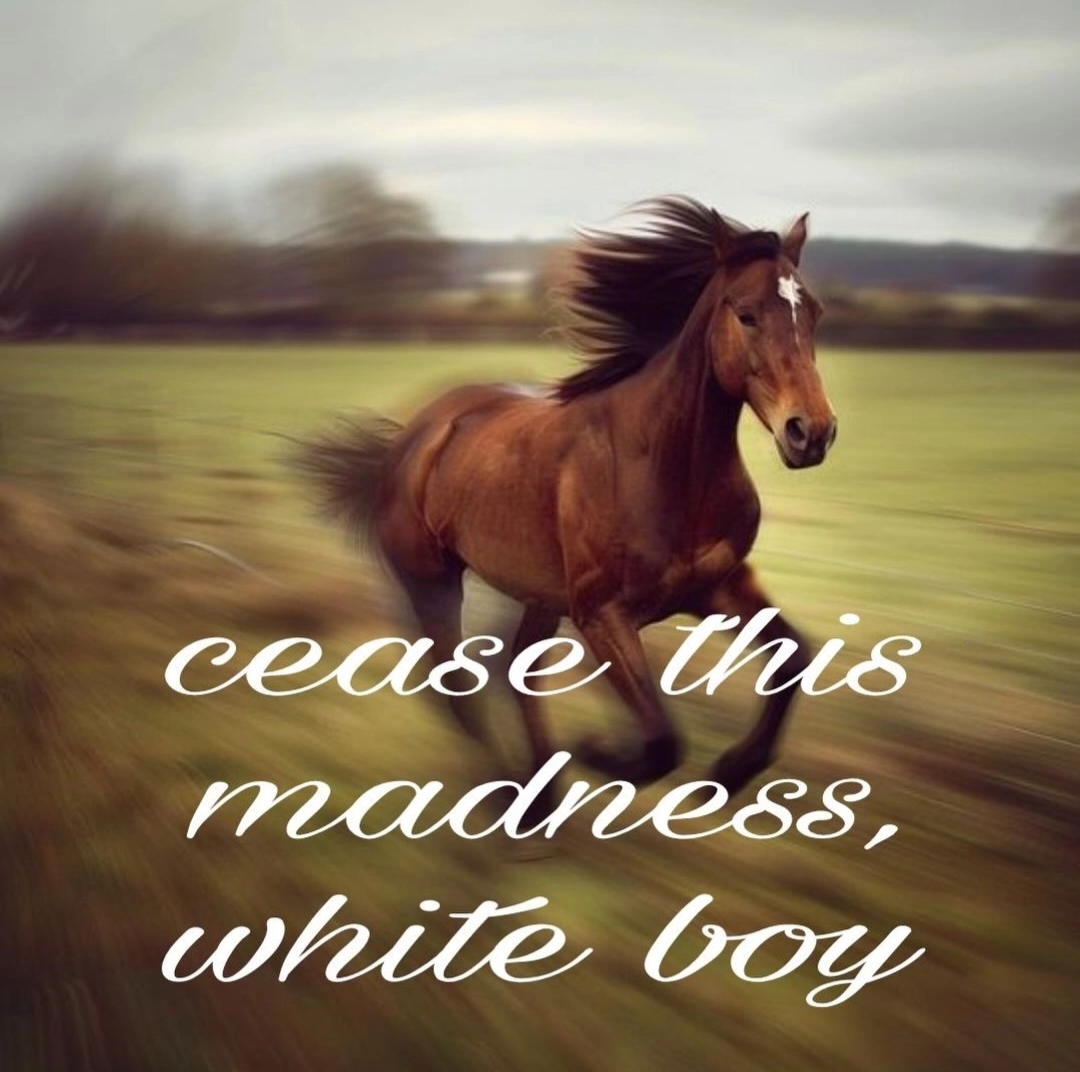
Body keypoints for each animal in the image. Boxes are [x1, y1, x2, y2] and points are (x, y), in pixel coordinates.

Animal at [299, 196, 837, 810]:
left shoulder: (717, 586)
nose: (811, 432)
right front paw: (600, 752)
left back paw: (541, 794)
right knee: (458, 691)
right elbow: (662, 739)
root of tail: (411, 436)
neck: (665, 467)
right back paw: (512, 797)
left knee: (514, 672)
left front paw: (726, 774)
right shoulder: (601, 613)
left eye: (814, 312)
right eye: (746, 314)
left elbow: (794, 659)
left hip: (537, 593)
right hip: (432, 582)